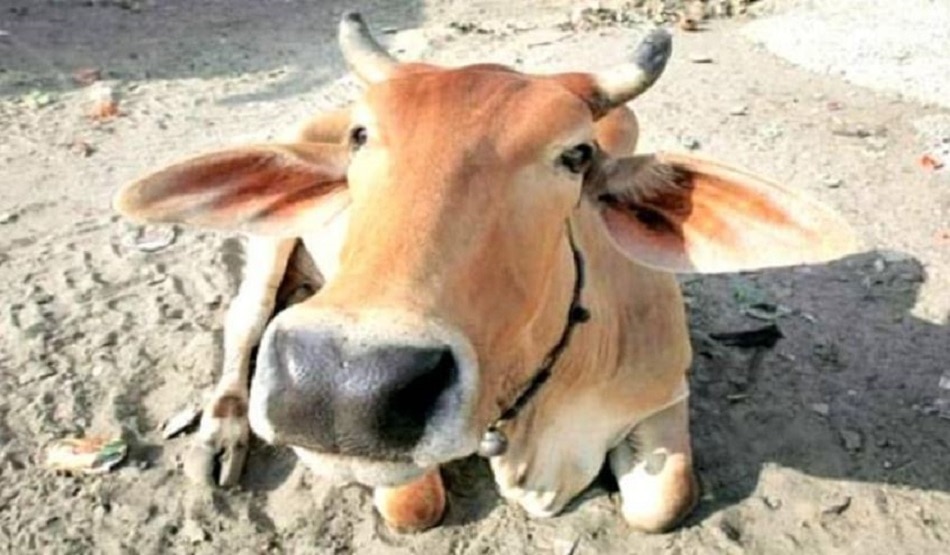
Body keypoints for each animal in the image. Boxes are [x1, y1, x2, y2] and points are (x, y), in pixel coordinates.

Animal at [113, 13, 856, 534]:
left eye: (576, 155)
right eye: (362, 136)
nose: (340, 388)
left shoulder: (663, 393)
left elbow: (664, 502)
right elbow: (413, 504)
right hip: (270, 242)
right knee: (244, 323)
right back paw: (220, 435)